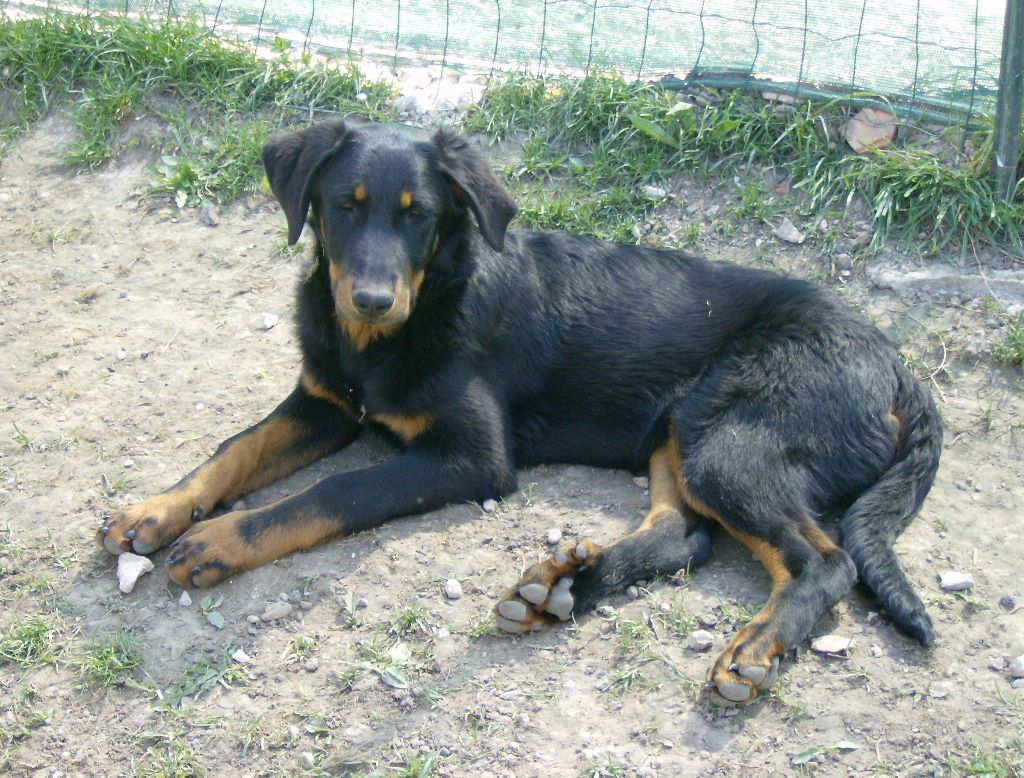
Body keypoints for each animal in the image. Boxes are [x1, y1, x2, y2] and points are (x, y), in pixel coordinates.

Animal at [99, 118, 942, 705]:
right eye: (344, 207)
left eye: (419, 215)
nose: (369, 298)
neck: (382, 339)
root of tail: (899, 366)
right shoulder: (327, 403)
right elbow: (236, 447)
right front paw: (156, 510)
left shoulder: (471, 457)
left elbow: (331, 492)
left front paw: (220, 540)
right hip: (678, 432)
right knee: (683, 534)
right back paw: (562, 589)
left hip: (727, 437)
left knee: (824, 562)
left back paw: (754, 651)